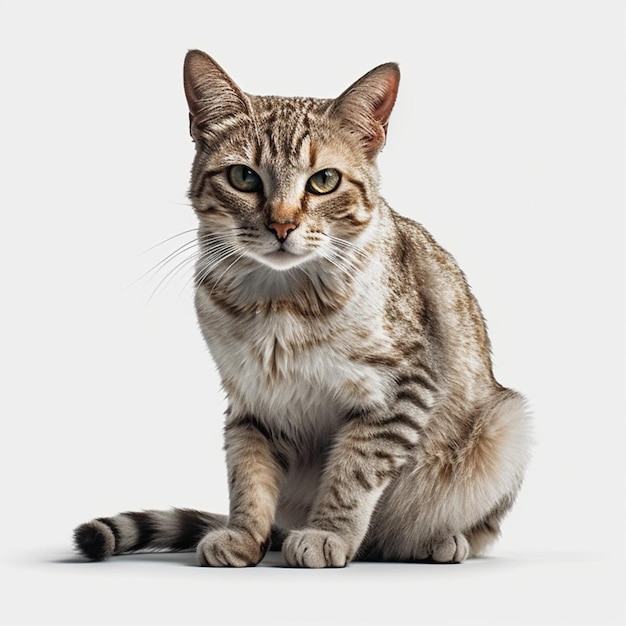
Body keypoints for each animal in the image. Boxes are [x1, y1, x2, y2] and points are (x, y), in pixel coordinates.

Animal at [74, 48, 532, 564]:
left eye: (324, 181)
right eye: (244, 176)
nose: (281, 225)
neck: (280, 299)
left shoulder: (401, 387)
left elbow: (353, 471)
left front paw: (328, 532)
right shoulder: (250, 400)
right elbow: (247, 472)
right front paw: (244, 533)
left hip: (508, 424)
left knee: (470, 523)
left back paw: (438, 541)